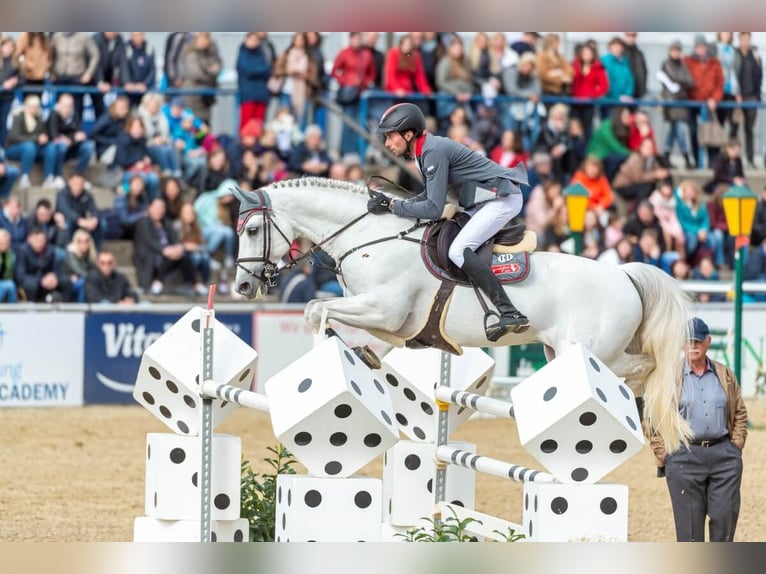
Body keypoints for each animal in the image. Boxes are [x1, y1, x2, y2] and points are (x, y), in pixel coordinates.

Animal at [234, 180, 696, 454]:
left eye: (253, 231)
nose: (241, 287)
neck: (368, 237)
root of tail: (624, 274)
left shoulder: (384, 307)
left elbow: (316, 310)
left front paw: (323, 367)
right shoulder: (388, 321)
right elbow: (340, 324)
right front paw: (354, 358)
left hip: (591, 350)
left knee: (651, 365)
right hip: (562, 352)